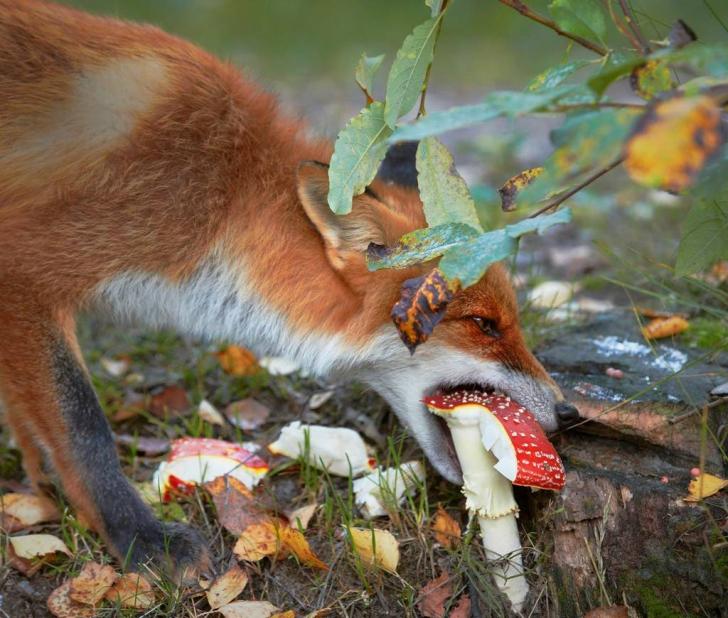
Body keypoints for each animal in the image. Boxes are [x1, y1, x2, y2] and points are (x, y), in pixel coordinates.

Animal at [1, 0, 580, 576]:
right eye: (483, 324)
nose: (570, 413)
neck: (223, 199)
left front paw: (40, 482)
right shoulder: (25, 268)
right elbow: (83, 426)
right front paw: (140, 539)